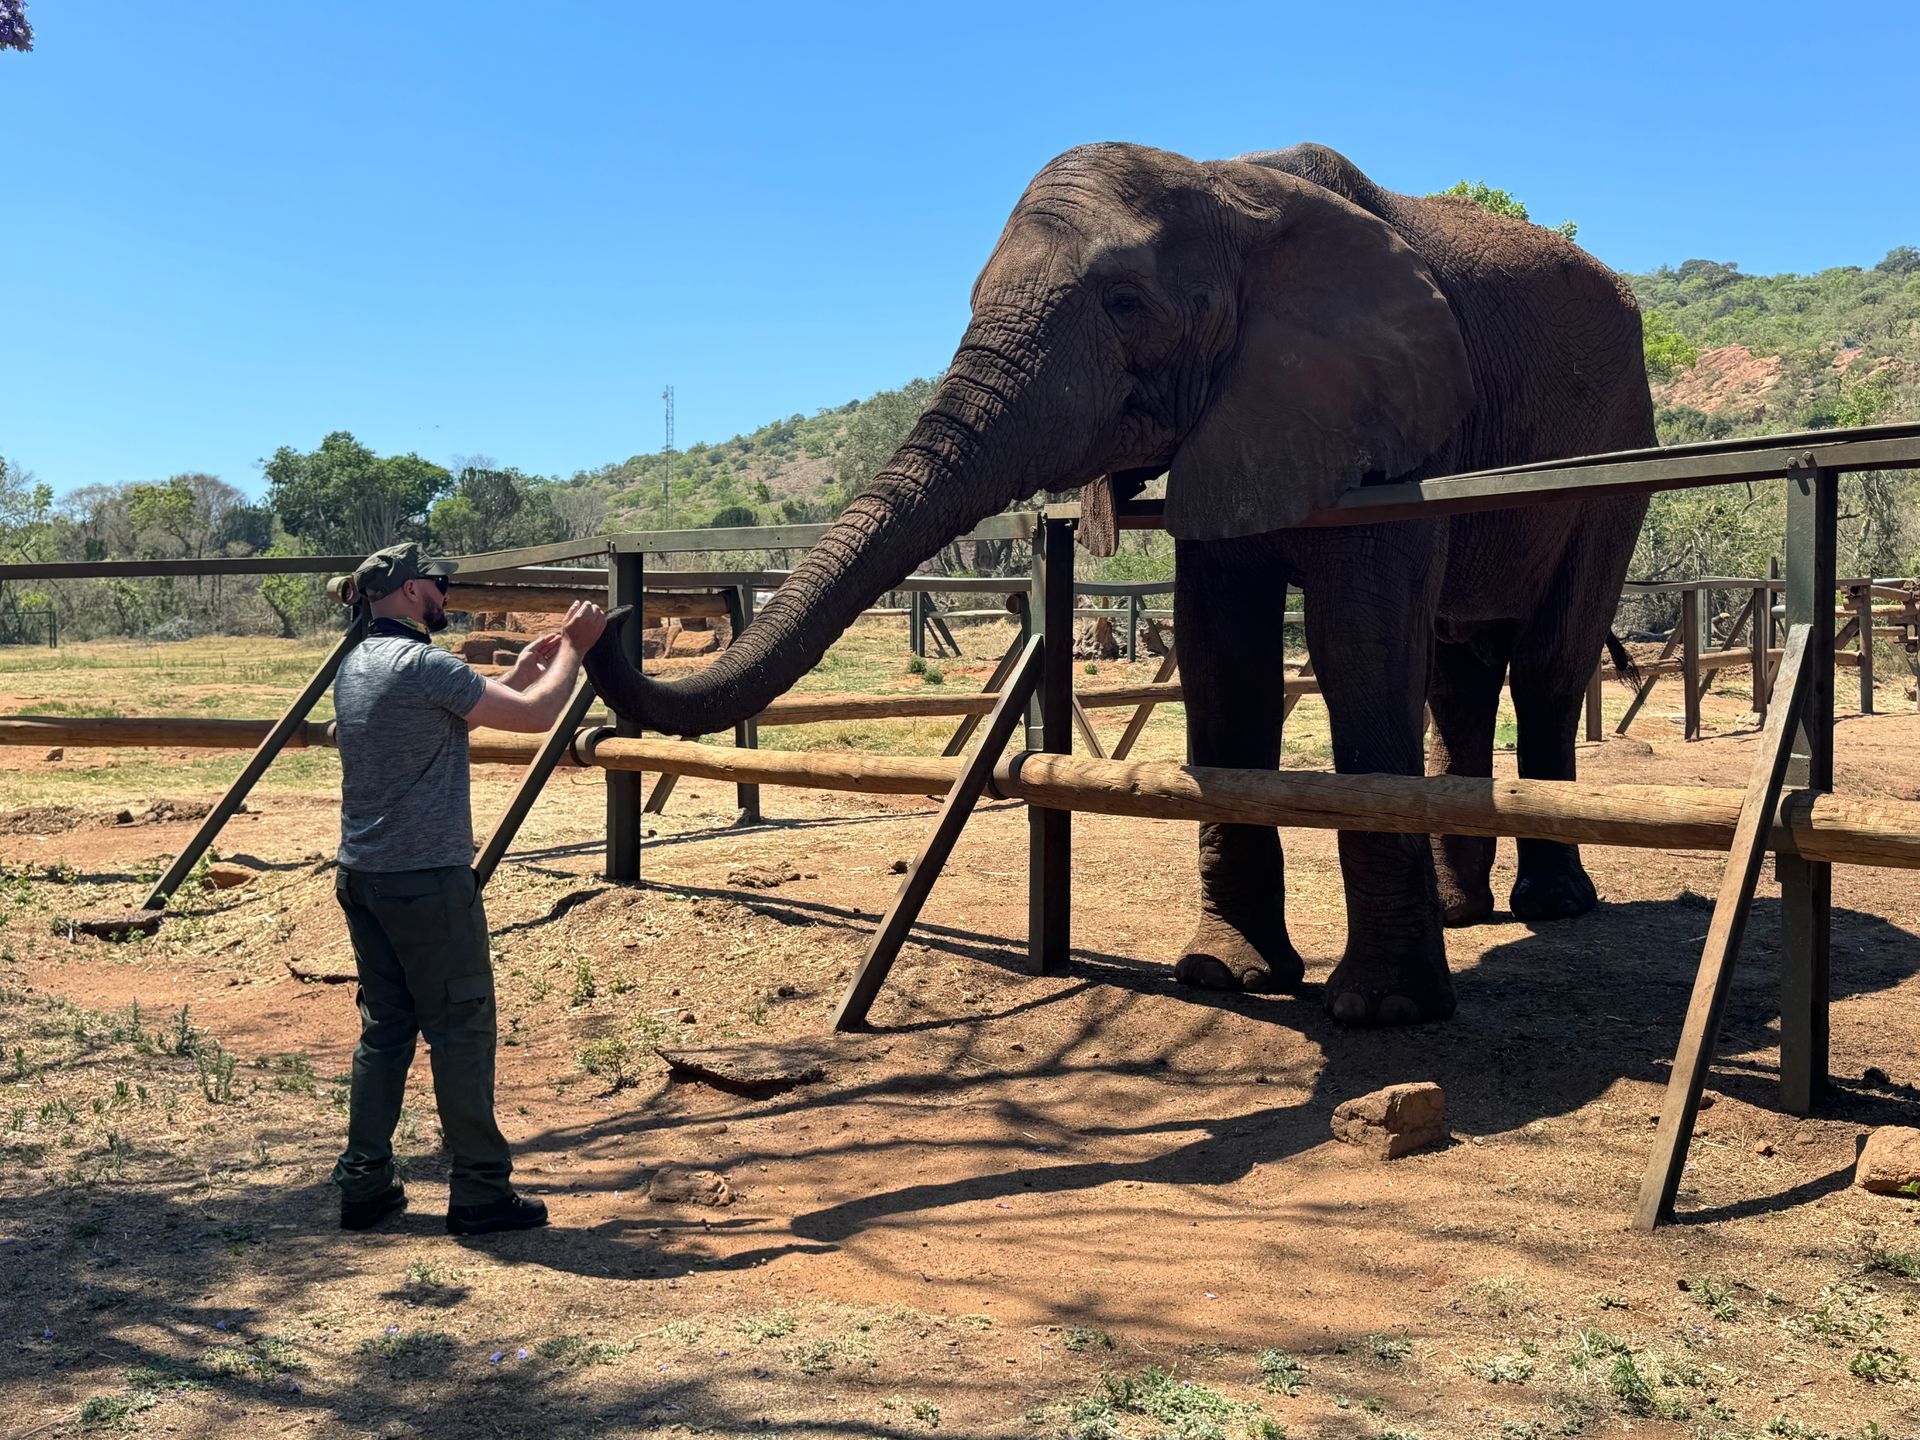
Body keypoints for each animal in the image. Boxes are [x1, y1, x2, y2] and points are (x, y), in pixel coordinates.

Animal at [585, 142, 1656, 1027]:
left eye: (1127, 306)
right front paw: (1224, 976)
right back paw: (1464, 910)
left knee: (1546, 661)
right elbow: (1224, 656)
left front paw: (1382, 1012)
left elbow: (1359, 648)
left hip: (1619, 454)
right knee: (1458, 670)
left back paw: (1550, 906)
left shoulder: (1394, 420)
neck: (1233, 182)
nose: (603, 613)